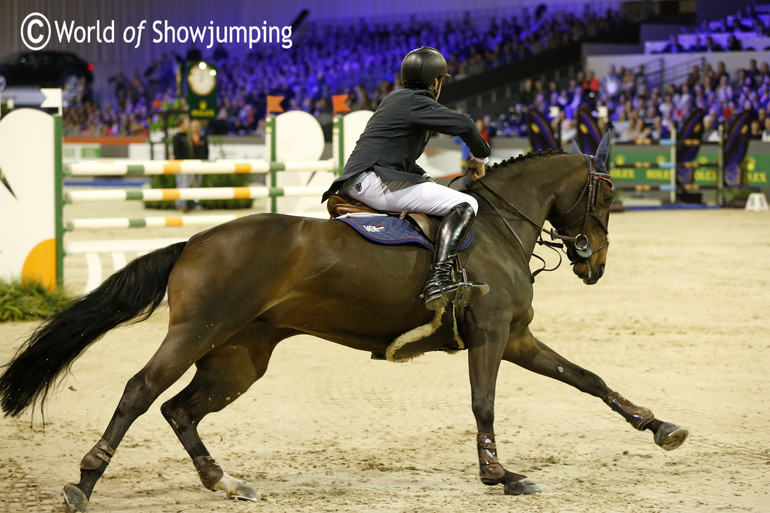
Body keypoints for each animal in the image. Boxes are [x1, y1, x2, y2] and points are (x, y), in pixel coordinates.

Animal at [0, 137, 684, 512]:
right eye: (609, 193)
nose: (595, 264)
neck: (492, 225)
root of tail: (196, 240)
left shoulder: (516, 338)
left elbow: (588, 380)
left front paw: (660, 427)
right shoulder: (491, 337)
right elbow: (484, 403)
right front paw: (500, 475)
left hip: (239, 357)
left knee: (181, 409)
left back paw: (225, 482)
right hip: (197, 333)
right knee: (141, 391)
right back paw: (84, 483)